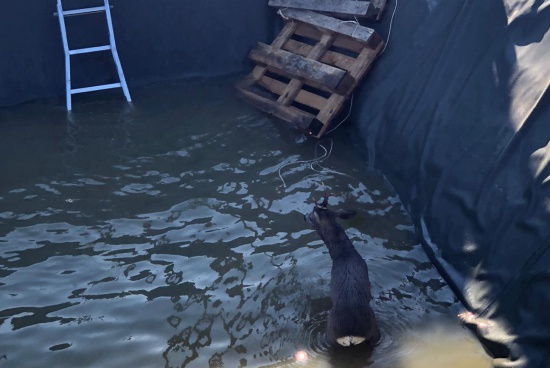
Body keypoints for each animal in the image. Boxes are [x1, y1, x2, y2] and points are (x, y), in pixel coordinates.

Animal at [304, 193, 382, 348]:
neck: (344, 255)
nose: (304, 216)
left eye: (311, 215)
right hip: (374, 335)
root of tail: (351, 333)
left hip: (330, 335)